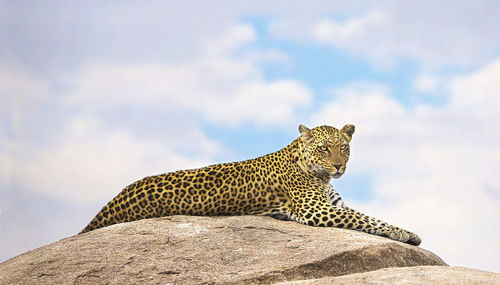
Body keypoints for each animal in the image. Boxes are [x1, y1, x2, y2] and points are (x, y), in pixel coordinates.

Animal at [81, 123, 422, 245]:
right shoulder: (316, 210)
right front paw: (405, 234)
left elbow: (369, 217)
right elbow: (366, 220)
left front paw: (406, 232)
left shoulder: (332, 203)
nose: (339, 165)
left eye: (344, 147)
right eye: (324, 148)